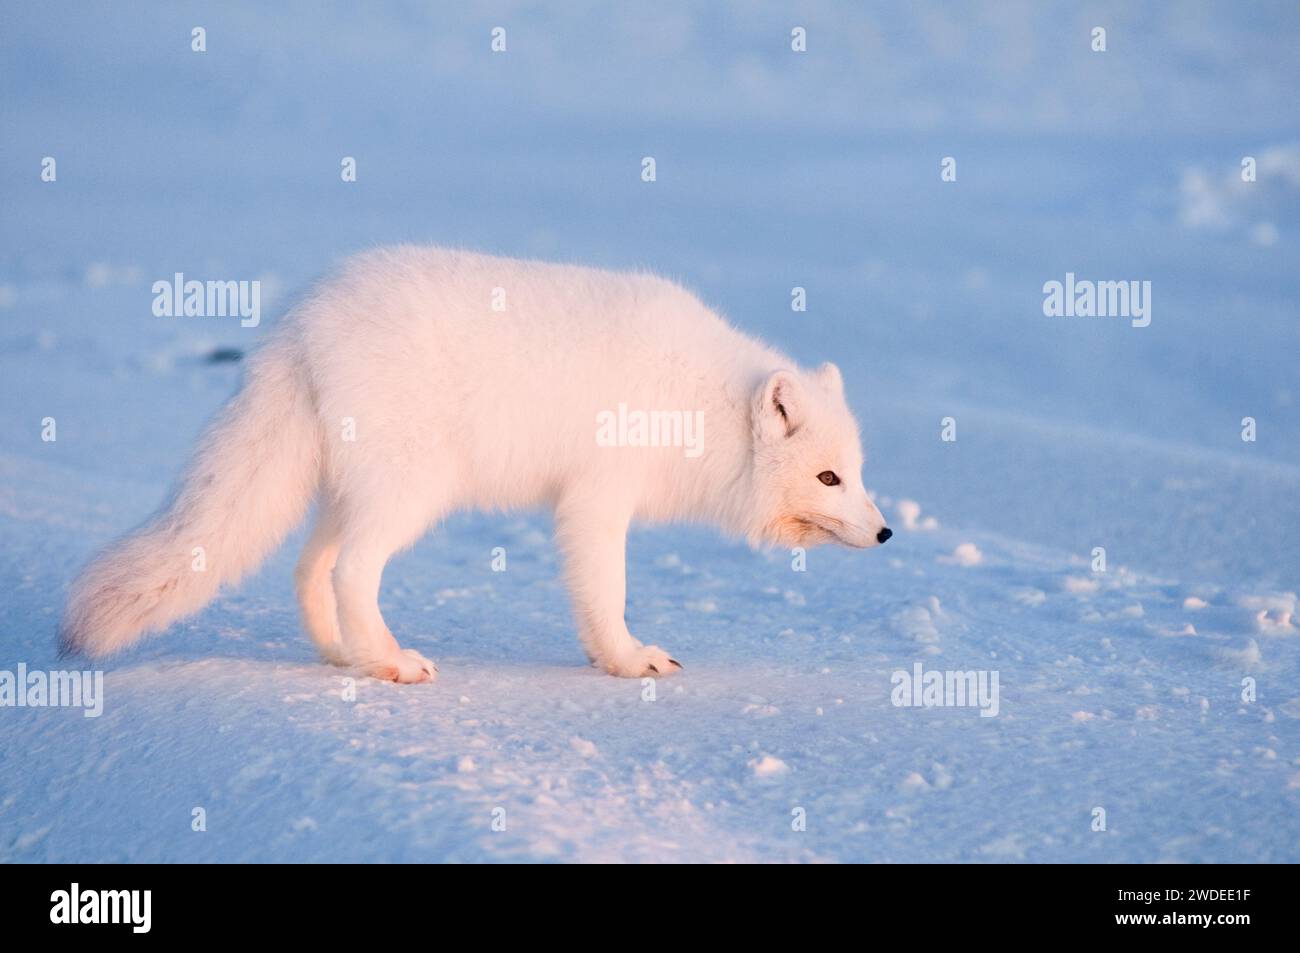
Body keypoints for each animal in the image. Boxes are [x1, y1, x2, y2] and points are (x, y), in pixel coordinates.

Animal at [63, 245, 894, 676]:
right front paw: (627, 659)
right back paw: (391, 661)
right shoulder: (597, 498)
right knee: (349, 570)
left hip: (352, 486)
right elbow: (606, 592)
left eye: (858, 473)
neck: (698, 401)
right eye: (828, 477)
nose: (888, 533)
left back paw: (343, 654)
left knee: (308, 569)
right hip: (412, 488)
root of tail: (300, 317)